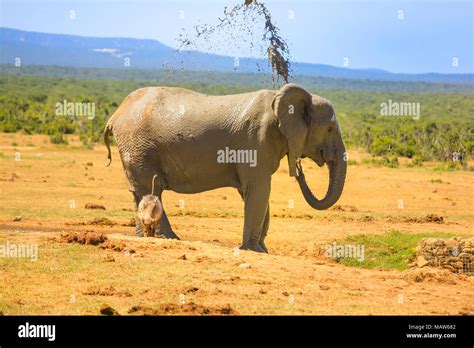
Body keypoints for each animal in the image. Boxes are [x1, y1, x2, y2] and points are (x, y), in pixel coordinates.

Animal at [103, 83, 346, 254]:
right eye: (330, 129)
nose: (299, 169)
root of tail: (117, 113)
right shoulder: (255, 139)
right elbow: (259, 189)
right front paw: (252, 250)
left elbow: (256, 192)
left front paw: (262, 250)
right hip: (139, 145)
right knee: (150, 188)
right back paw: (168, 239)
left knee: (140, 191)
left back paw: (145, 237)